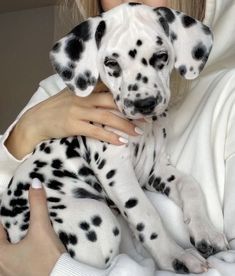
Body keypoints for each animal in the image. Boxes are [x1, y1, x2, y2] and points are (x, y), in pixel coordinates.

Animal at [0, 2, 229, 274]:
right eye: (111, 63)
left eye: (161, 56)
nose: (144, 103)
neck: (145, 128)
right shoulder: (117, 172)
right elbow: (147, 215)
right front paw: (175, 256)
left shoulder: (156, 169)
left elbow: (191, 185)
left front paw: (206, 231)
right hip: (96, 219)